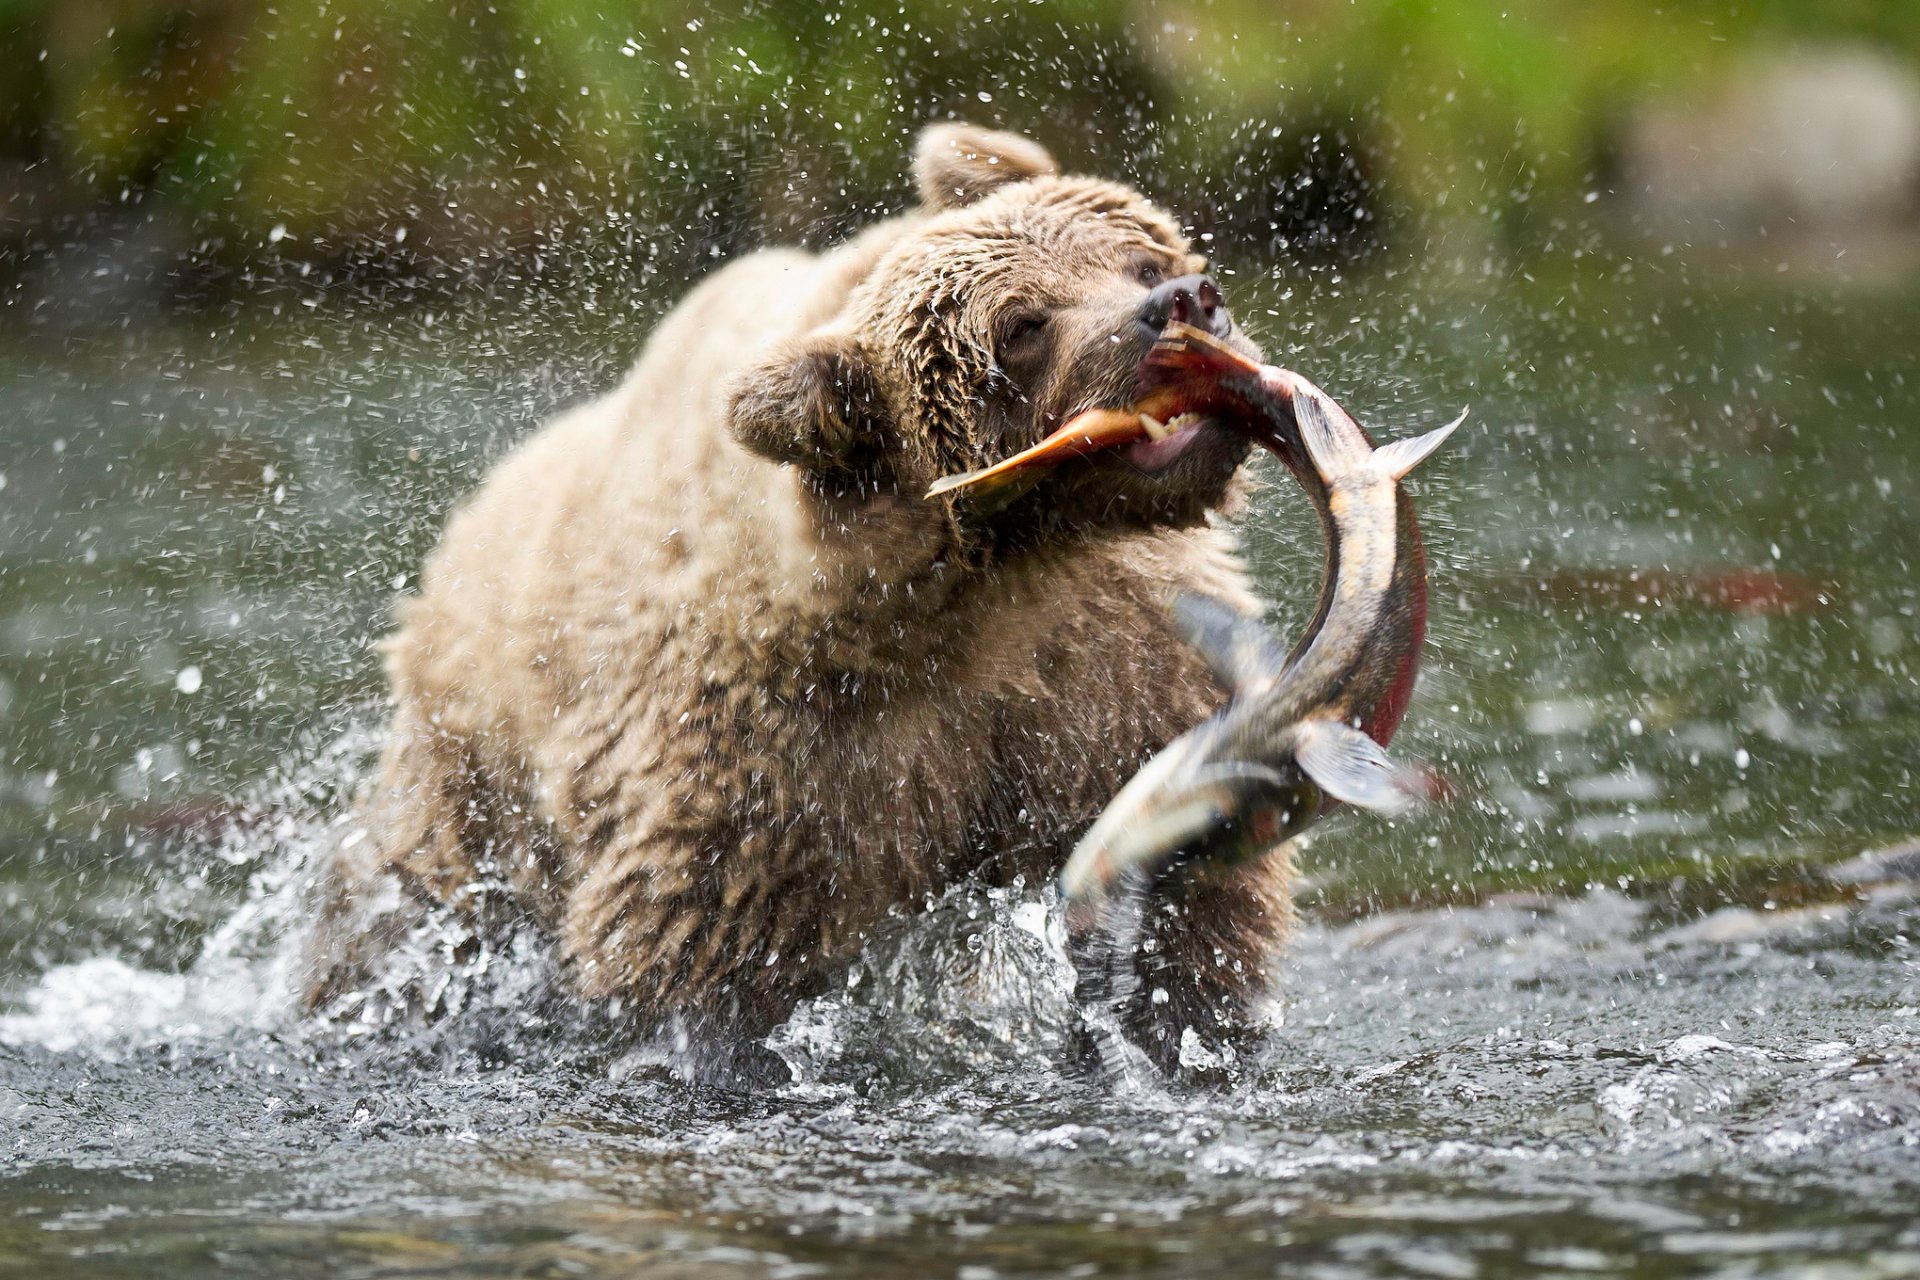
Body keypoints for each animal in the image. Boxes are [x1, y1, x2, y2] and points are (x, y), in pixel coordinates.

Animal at [307, 123, 1297, 1071]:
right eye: (1021, 326)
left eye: (1140, 259)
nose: (1182, 302)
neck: (986, 585)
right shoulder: (772, 757)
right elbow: (694, 951)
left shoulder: (1118, 670)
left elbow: (1196, 897)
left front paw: (1183, 1022)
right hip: (469, 780)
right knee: (395, 914)